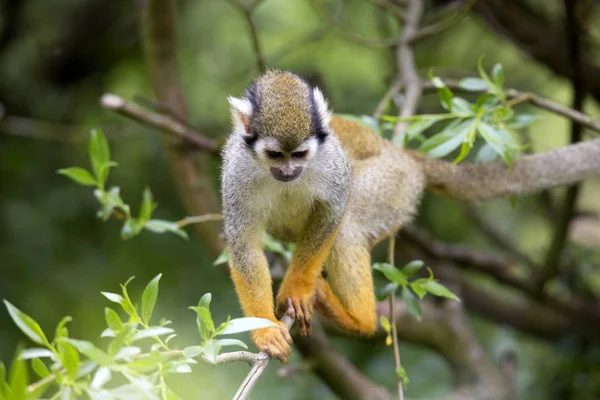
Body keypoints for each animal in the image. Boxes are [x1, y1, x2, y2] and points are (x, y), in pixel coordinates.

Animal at [223, 70, 424, 364]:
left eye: (299, 154)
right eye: (274, 155)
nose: (288, 171)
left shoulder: (330, 161)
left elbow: (333, 211)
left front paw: (297, 290)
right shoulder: (236, 170)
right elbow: (244, 246)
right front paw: (266, 329)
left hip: (393, 181)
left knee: (348, 221)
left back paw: (358, 320)